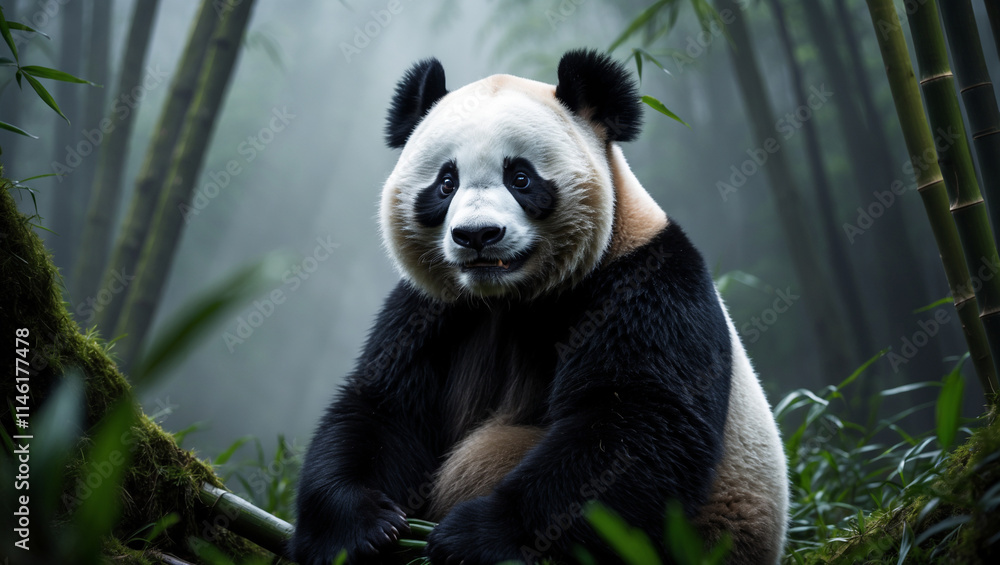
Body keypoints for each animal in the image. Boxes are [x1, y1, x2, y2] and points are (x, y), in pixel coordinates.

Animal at [291, 50, 788, 565]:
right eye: (446, 183)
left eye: (521, 177)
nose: (477, 235)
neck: (511, 296)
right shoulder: (431, 308)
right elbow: (382, 407)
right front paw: (359, 529)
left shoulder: (647, 284)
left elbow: (634, 427)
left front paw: (475, 536)